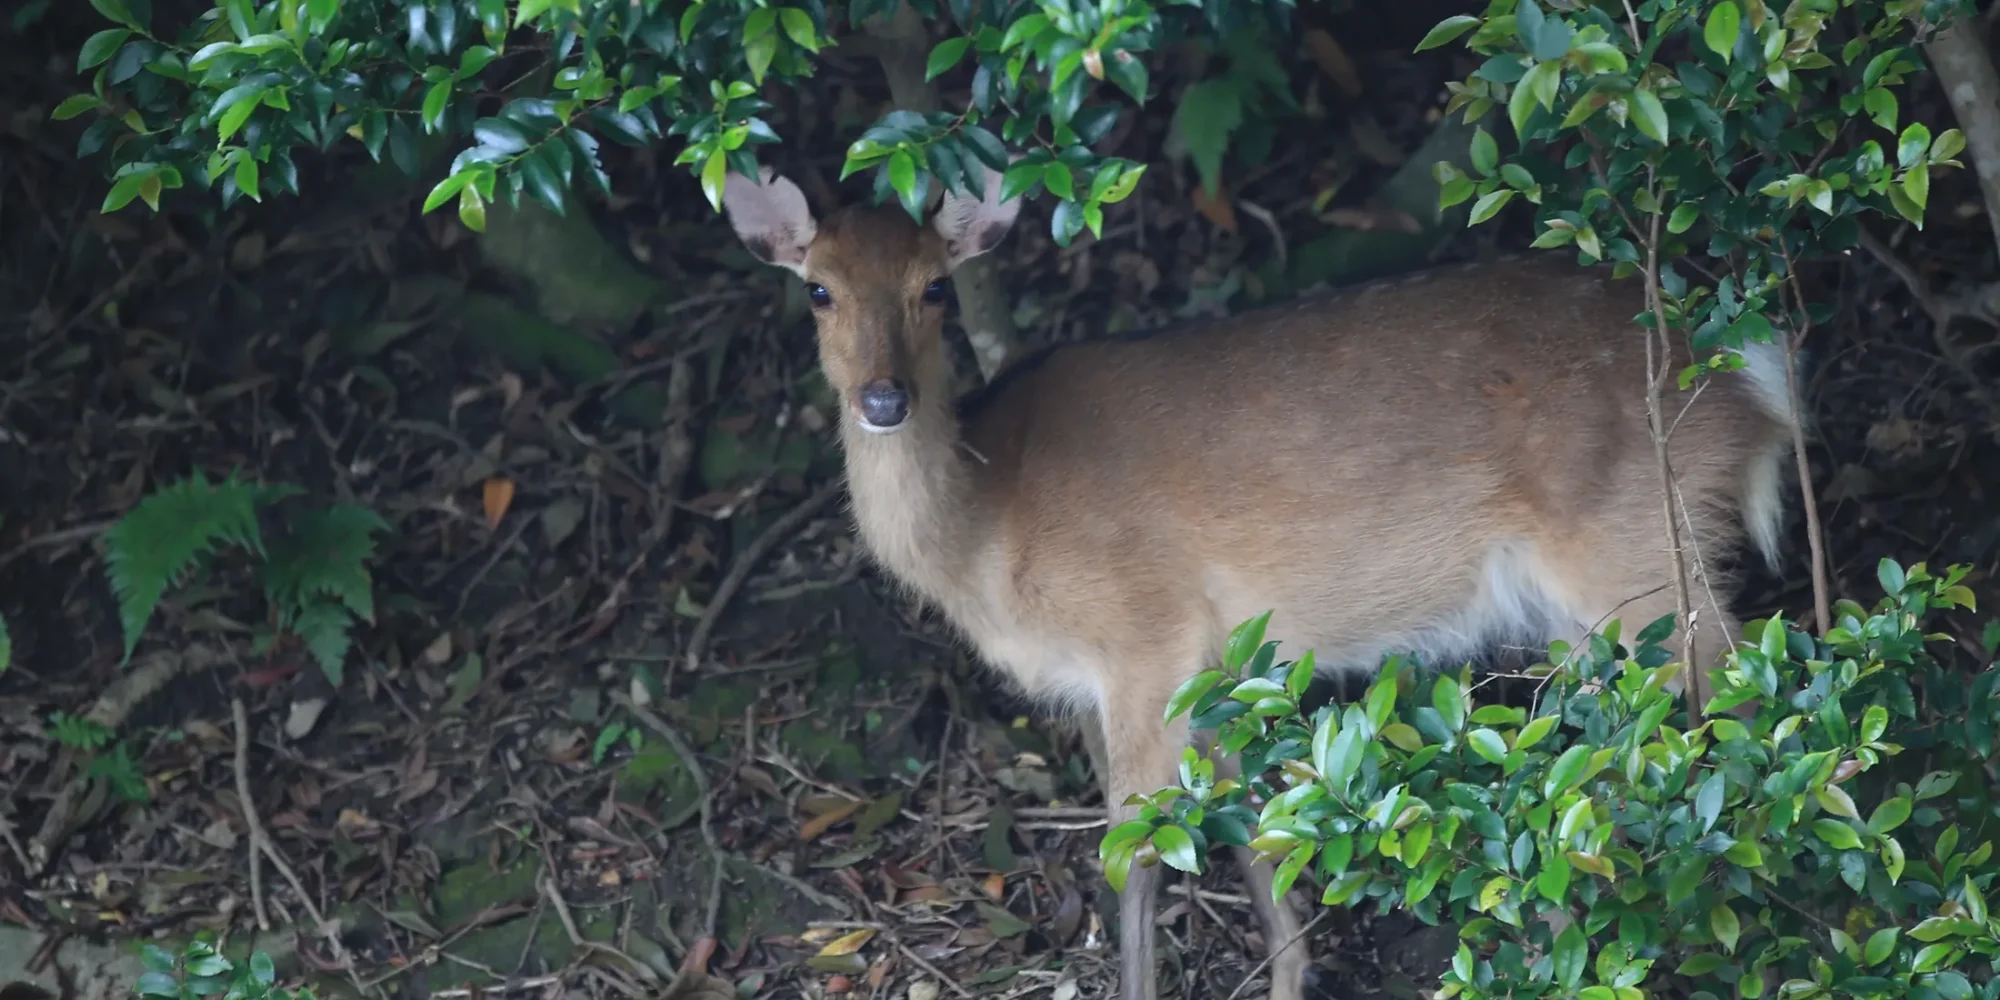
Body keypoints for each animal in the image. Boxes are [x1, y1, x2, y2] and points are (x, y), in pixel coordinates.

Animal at [720, 161, 1797, 1000]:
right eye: (818, 290)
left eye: (937, 287)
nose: (883, 399)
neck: (990, 531)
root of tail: (1751, 371)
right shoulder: (1203, 671)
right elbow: (1254, 836)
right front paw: (1293, 974)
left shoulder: (1144, 639)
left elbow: (1135, 852)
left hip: (1637, 545)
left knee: (1740, 688)